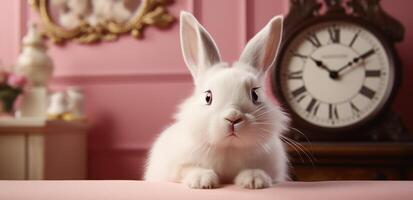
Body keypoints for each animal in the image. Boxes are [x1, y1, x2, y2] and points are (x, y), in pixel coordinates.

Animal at [144, 11, 286, 190]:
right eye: (208, 97)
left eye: (255, 95)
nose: (233, 118)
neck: (229, 149)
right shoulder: (176, 167)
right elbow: (188, 169)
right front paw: (202, 181)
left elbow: (257, 170)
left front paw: (254, 181)